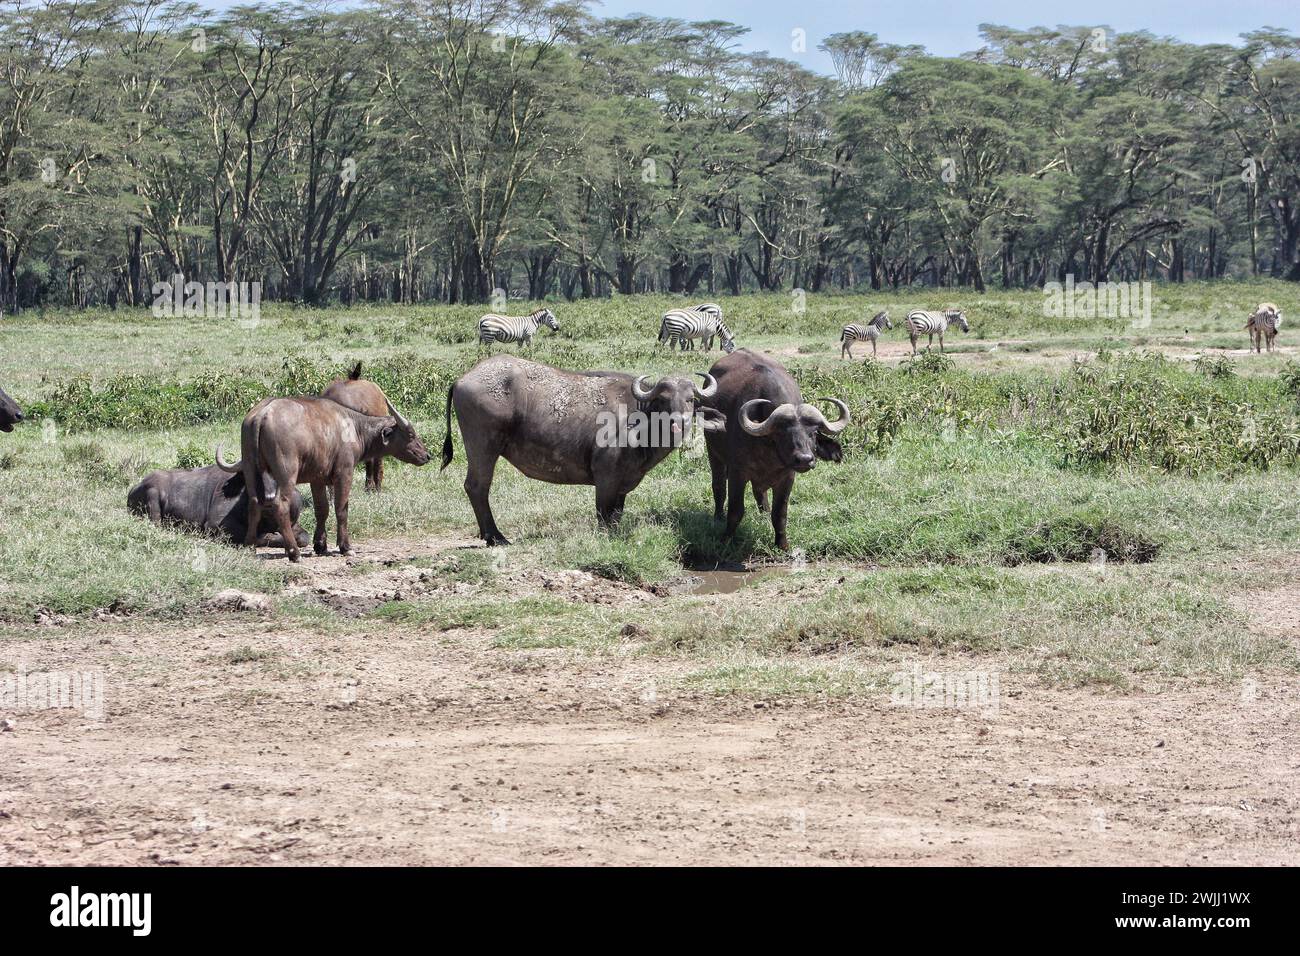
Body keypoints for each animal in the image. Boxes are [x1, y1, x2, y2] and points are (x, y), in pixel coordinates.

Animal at [217, 395, 431, 561]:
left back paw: (249, 545)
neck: (353, 428)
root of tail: (262, 414)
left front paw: (320, 545)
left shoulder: (317, 479)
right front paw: (345, 547)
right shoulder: (344, 473)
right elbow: (341, 509)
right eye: (411, 434)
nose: (427, 455)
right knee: (280, 505)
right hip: (286, 473)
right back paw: (294, 552)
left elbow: (322, 510)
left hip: (250, 468)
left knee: (254, 502)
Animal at [439, 356, 728, 546]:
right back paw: (495, 537)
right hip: (483, 447)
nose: (680, 422)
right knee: (477, 486)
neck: (638, 420)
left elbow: (616, 515)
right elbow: (603, 514)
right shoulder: (605, 479)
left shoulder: (622, 485)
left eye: (690, 399)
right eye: (664, 400)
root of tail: (463, 378)